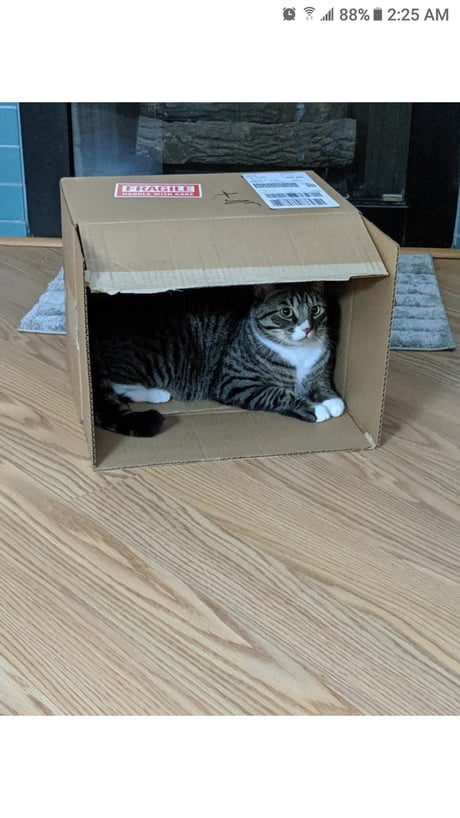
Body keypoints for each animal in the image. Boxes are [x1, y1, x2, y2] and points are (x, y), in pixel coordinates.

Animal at [87, 280, 344, 434]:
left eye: (316, 310)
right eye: (286, 312)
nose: (308, 329)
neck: (298, 352)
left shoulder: (320, 369)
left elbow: (325, 386)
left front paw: (332, 401)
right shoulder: (236, 382)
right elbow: (278, 394)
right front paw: (317, 409)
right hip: (158, 356)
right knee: (118, 384)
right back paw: (158, 393)